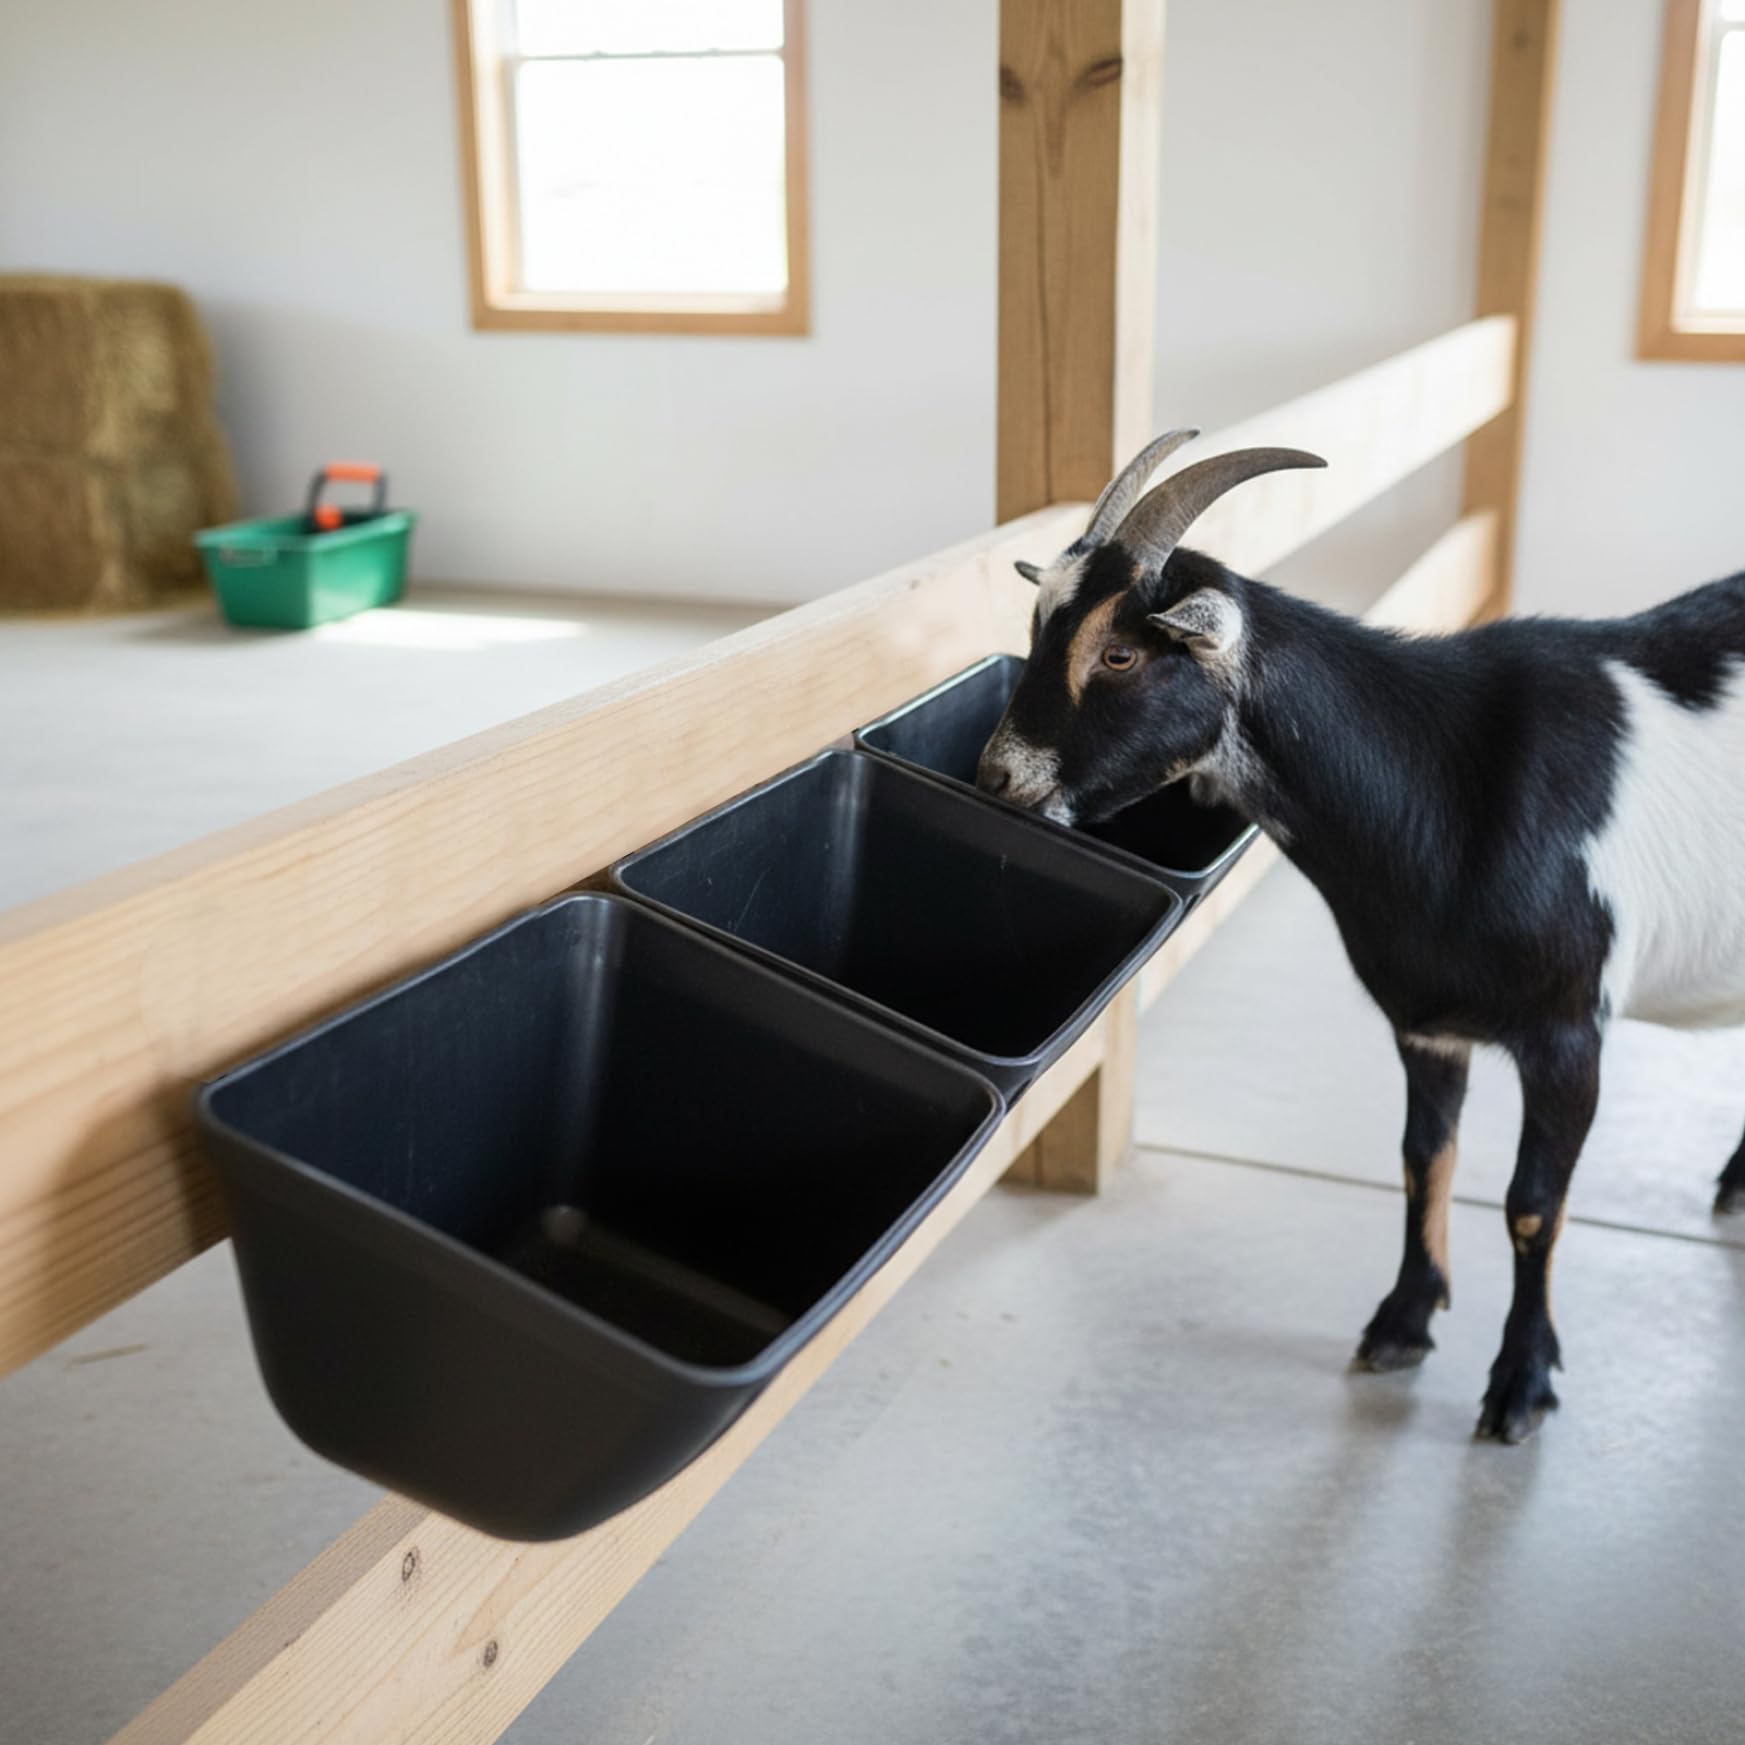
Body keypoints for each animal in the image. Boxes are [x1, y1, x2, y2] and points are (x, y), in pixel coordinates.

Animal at [978, 431, 1745, 1443]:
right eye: (1038, 625)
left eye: (1118, 652)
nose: (997, 776)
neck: (1452, 785)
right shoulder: (1425, 1019)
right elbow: (1423, 1160)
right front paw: (1402, 1324)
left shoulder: (1569, 1028)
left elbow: (1532, 1207)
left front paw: (1521, 1384)